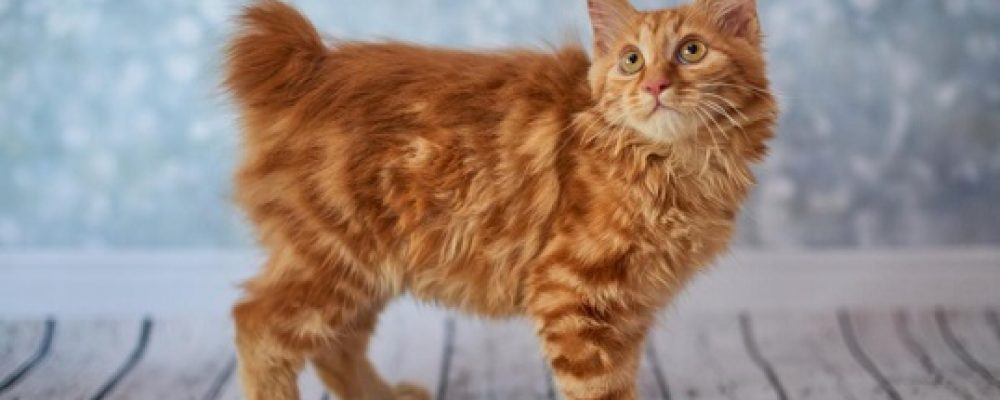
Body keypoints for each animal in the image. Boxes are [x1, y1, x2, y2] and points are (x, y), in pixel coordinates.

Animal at [224, 0, 776, 399]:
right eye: (631, 60)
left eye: (691, 51)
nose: (655, 85)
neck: (673, 163)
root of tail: (313, 64)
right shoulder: (569, 292)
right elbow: (601, 390)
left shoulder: (629, 309)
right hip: (332, 258)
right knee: (257, 327)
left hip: (366, 273)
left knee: (336, 350)